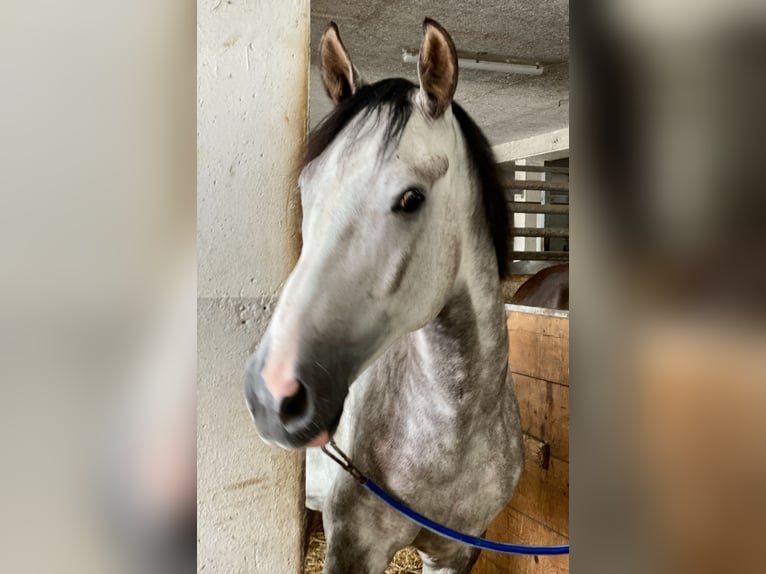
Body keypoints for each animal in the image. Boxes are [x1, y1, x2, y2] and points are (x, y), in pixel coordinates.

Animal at [245, 19, 523, 574]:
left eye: (411, 199)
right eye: (306, 190)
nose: (272, 393)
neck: (451, 436)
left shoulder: (457, 553)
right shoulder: (353, 550)